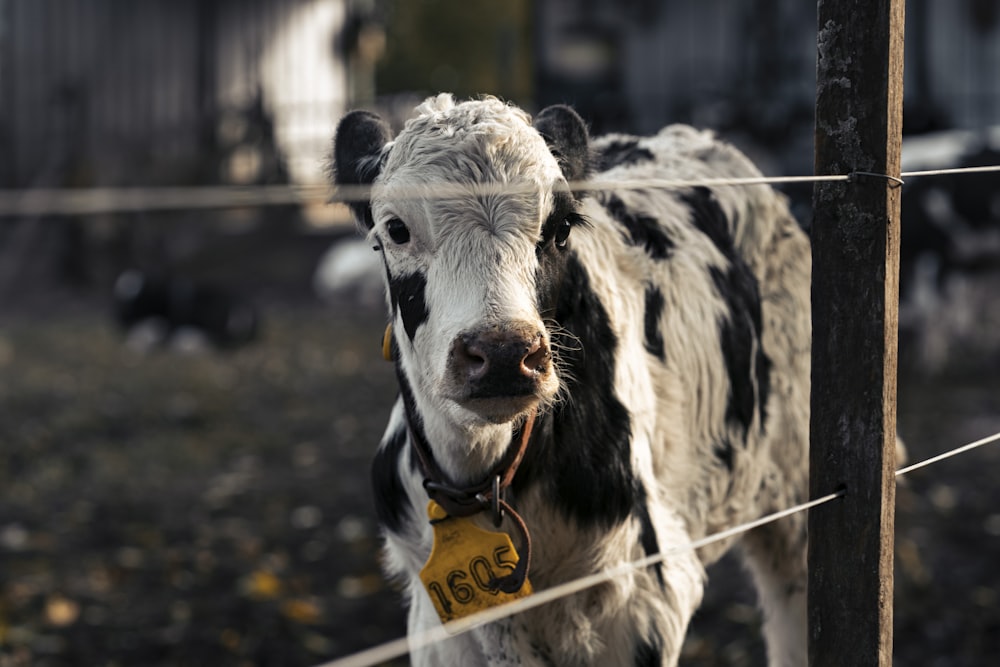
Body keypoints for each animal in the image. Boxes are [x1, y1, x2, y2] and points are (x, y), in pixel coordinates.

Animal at [334, 95, 812, 667]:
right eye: (396, 229)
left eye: (560, 227)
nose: (504, 353)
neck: (484, 476)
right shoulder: (440, 631)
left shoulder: (643, 601)